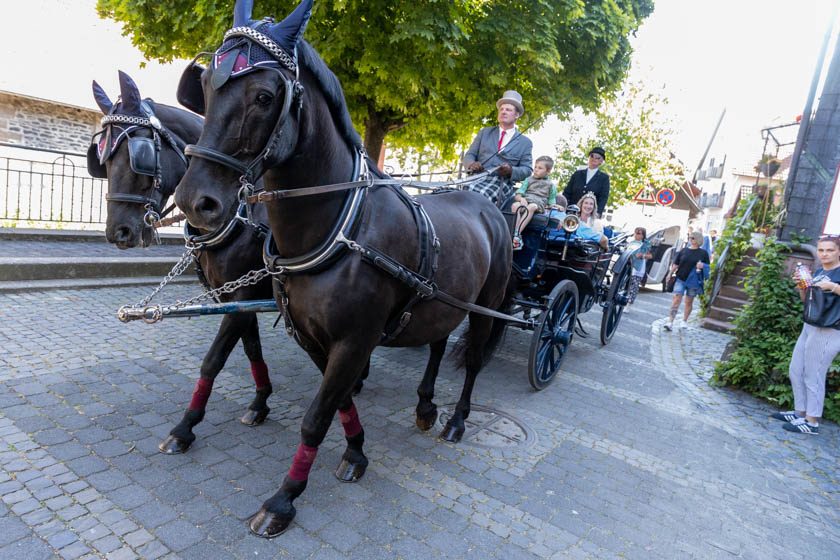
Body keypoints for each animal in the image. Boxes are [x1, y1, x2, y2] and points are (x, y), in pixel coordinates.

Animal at [88, 71, 276, 456]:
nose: (118, 232)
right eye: (101, 159)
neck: (241, 213)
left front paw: (185, 426)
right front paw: (260, 402)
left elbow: (214, 359)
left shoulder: (245, 292)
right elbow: (251, 348)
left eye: (139, 154)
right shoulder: (235, 296)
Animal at [176, 0, 512, 540]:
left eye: (265, 96)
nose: (196, 202)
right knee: (438, 343)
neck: (338, 227)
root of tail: (488, 205)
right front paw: (355, 451)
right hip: (439, 300)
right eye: (204, 86)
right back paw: (425, 405)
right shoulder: (313, 336)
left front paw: (284, 498)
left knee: (475, 360)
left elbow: (316, 415)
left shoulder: (352, 340)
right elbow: (336, 402)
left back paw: (457, 420)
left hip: (486, 308)